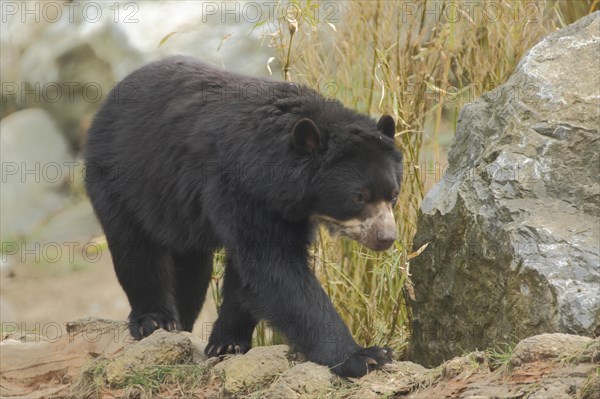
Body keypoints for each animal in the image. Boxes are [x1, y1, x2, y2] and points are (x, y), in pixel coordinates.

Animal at [84, 56, 404, 378]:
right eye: (358, 197)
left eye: (393, 195)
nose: (386, 238)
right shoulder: (236, 186)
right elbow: (275, 268)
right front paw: (366, 356)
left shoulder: (285, 210)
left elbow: (248, 277)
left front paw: (227, 343)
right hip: (121, 181)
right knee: (136, 249)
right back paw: (155, 320)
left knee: (192, 271)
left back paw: (181, 324)